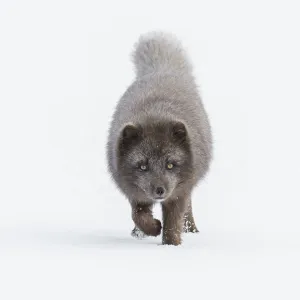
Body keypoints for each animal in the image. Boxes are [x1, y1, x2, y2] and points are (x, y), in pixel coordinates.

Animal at [106, 31, 212, 245]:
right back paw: (138, 232)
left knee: (188, 209)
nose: (160, 190)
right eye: (142, 166)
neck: (155, 114)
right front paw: (152, 228)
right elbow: (138, 214)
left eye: (170, 164)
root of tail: (162, 69)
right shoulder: (132, 189)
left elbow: (173, 221)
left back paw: (191, 229)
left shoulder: (179, 192)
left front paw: (170, 245)